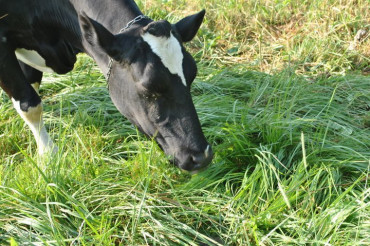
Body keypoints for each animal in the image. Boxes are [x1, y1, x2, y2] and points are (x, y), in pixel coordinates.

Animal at [0, 0, 212, 172]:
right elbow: (30, 104)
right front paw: (49, 157)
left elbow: (31, 87)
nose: (201, 156)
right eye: (149, 86)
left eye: (192, 74)